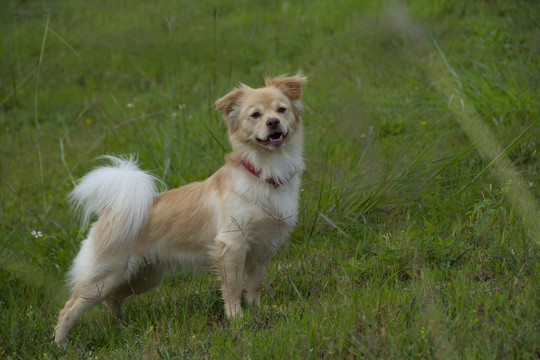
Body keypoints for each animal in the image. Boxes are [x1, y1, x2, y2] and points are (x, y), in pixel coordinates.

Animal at [56, 74, 308, 346]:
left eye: (281, 110)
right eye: (255, 115)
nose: (273, 122)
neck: (266, 172)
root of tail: (110, 211)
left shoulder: (264, 250)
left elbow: (254, 286)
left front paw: (258, 311)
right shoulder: (232, 247)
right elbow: (232, 288)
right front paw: (237, 319)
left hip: (142, 276)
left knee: (112, 299)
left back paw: (123, 326)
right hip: (104, 278)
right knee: (70, 308)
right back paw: (61, 344)